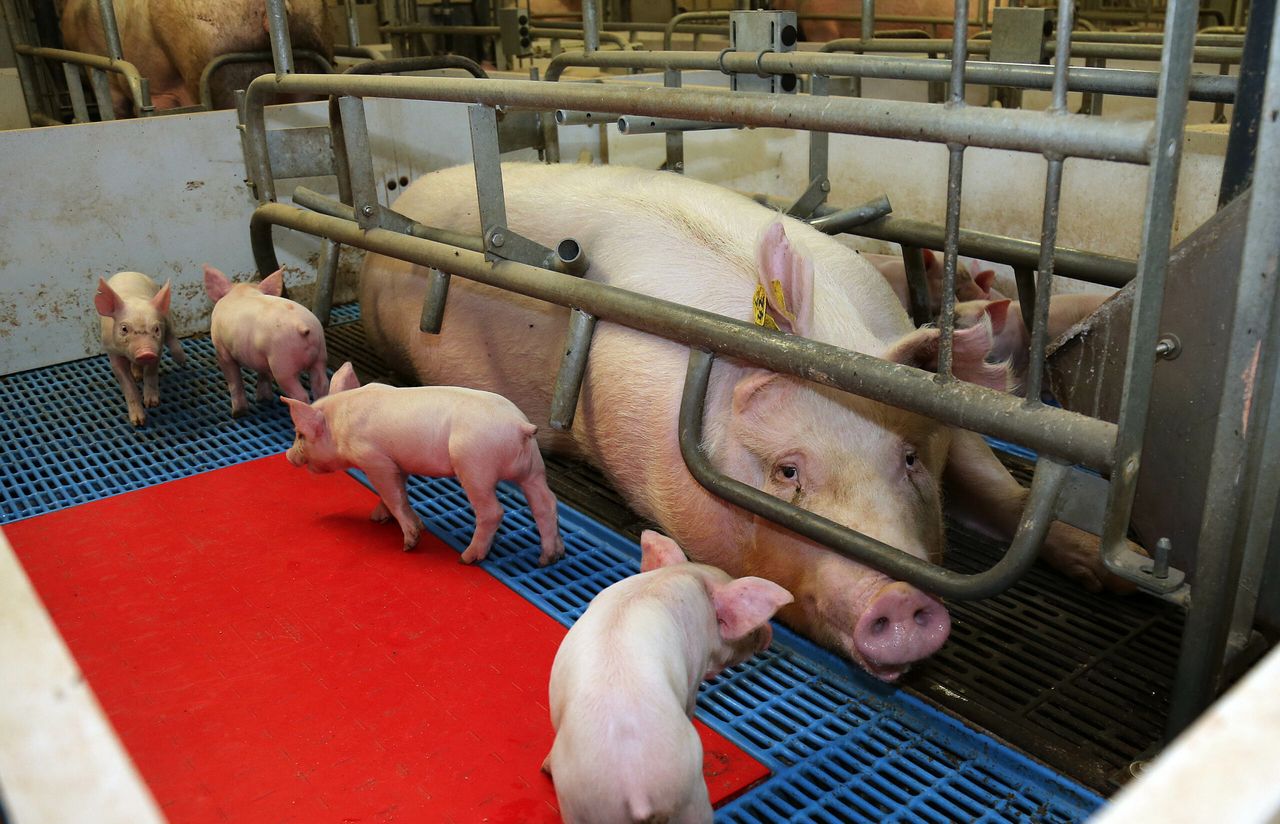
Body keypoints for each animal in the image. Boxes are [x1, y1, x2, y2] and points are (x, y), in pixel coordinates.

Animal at [95, 271, 187, 427]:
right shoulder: (112, 351)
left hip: (166, 316)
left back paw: (182, 361)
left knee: (171, 336)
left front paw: (152, 404)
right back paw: (137, 376)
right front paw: (138, 422)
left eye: (156, 329)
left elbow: (151, 372)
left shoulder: (157, 347)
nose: (146, 352)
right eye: (124, 328)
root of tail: (128, 272)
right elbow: (128, 385)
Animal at [203, 265, 329, 417]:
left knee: (301, 395)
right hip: (320, 354)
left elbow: (234, 381)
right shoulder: (261, 356)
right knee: (322, 385)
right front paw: (263, 400)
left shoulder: (222, 350)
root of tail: (302, 325)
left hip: (283, 364)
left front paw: (238, 413)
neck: (242, 291)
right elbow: (263, 374)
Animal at [283, 361, 565, 565]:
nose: (287, 455)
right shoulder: (399, 463)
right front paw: (377, 518)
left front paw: (409, 541)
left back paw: (466, 558)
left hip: (475, 466)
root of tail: (520, 426)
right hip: (533, 469)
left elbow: (394, 496)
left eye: (300, 434)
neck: (340, 422)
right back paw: (549, 558)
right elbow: (396, 492)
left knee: (493, 511)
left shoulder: (376, 460)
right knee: (546, 503)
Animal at [543, 530, 793, 824]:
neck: (686, 574)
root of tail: (636, 788)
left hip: (581, 807)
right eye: (750, 630)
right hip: (690, 798)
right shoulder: (695, 668)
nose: (769, 634)